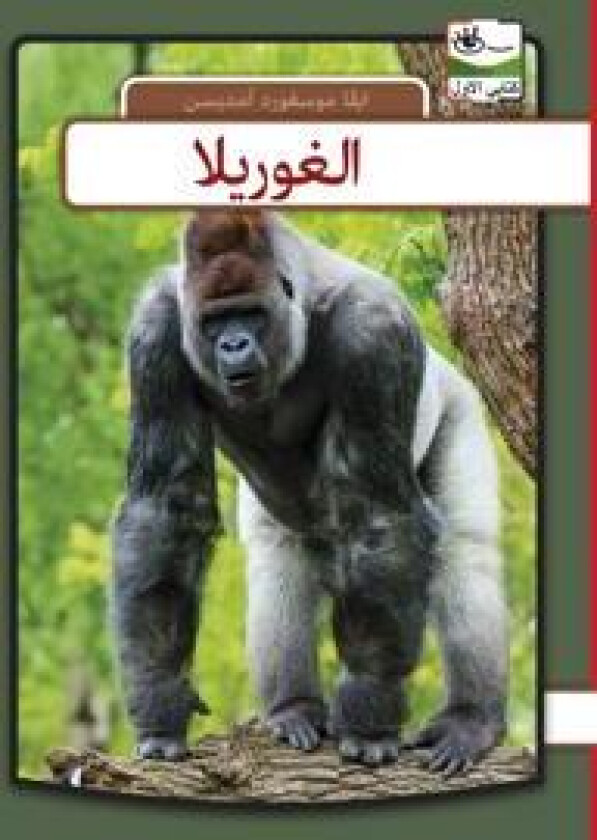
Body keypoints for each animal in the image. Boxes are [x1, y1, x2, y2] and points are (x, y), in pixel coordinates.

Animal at [111, 209, 507, 774]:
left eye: (250, 315)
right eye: (214, 323)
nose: (233, 345)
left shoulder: (374, 333)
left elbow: (377, 516)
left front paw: (368, 711)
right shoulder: (156, 333)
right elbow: (164, 512)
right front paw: (161, 701)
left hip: (456, 399)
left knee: (465, 552)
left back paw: (471, 721)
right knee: (278, 559)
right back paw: (292, 708)